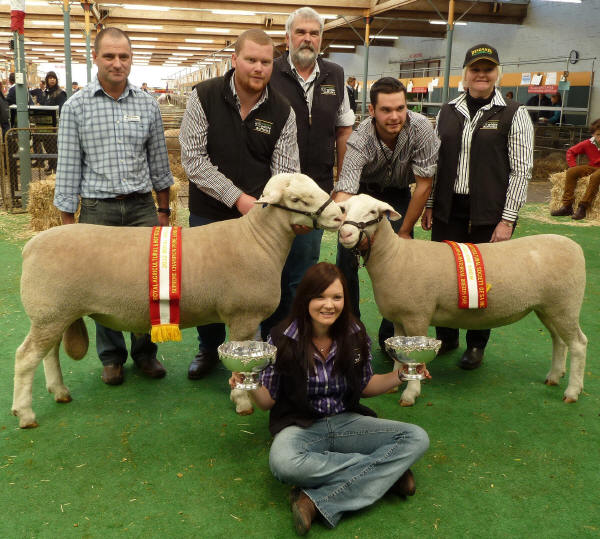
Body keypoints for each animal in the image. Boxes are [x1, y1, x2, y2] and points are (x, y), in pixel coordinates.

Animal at [11, 175, 342, 428]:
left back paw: (59, 391)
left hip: (55, 314)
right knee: (25, 358)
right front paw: (242, 401)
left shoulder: (250, 318)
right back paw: (25, 414)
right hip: (50, 312)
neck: (257, 240)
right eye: (297, 199)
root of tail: (29, 246)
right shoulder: (242, 315)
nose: (338, 214)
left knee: (49, 353)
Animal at [340, 194, 588, 404]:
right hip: (548, 307)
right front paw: (394, 382)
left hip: (566, 304)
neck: (394, 256)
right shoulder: (400, 318)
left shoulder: (417, 315)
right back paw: (554, 376)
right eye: (344, 209)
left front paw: (411, 393)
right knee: (559, 341)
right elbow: (399, 356)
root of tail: (575, 246)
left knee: (578, 344)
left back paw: (572, 391)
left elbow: (417, 360)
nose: (345, 234)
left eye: (373, 212)